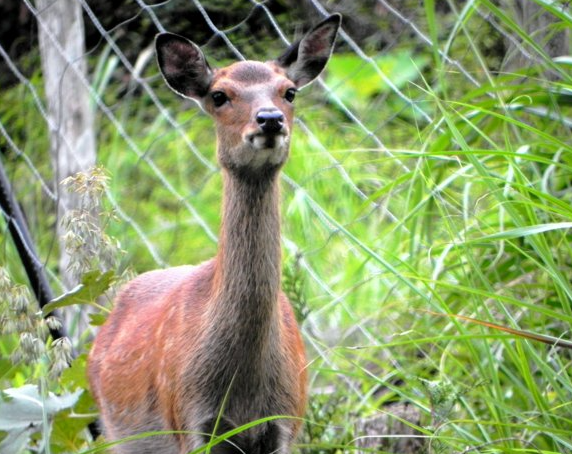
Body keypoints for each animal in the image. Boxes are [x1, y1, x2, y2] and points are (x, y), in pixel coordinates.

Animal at [87, 14, 342, 454]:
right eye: (220, 95)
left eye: (289, 91)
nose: (270, 119)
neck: (244, 387)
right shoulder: (190, 419)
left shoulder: (287, 419)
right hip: (117, 430)